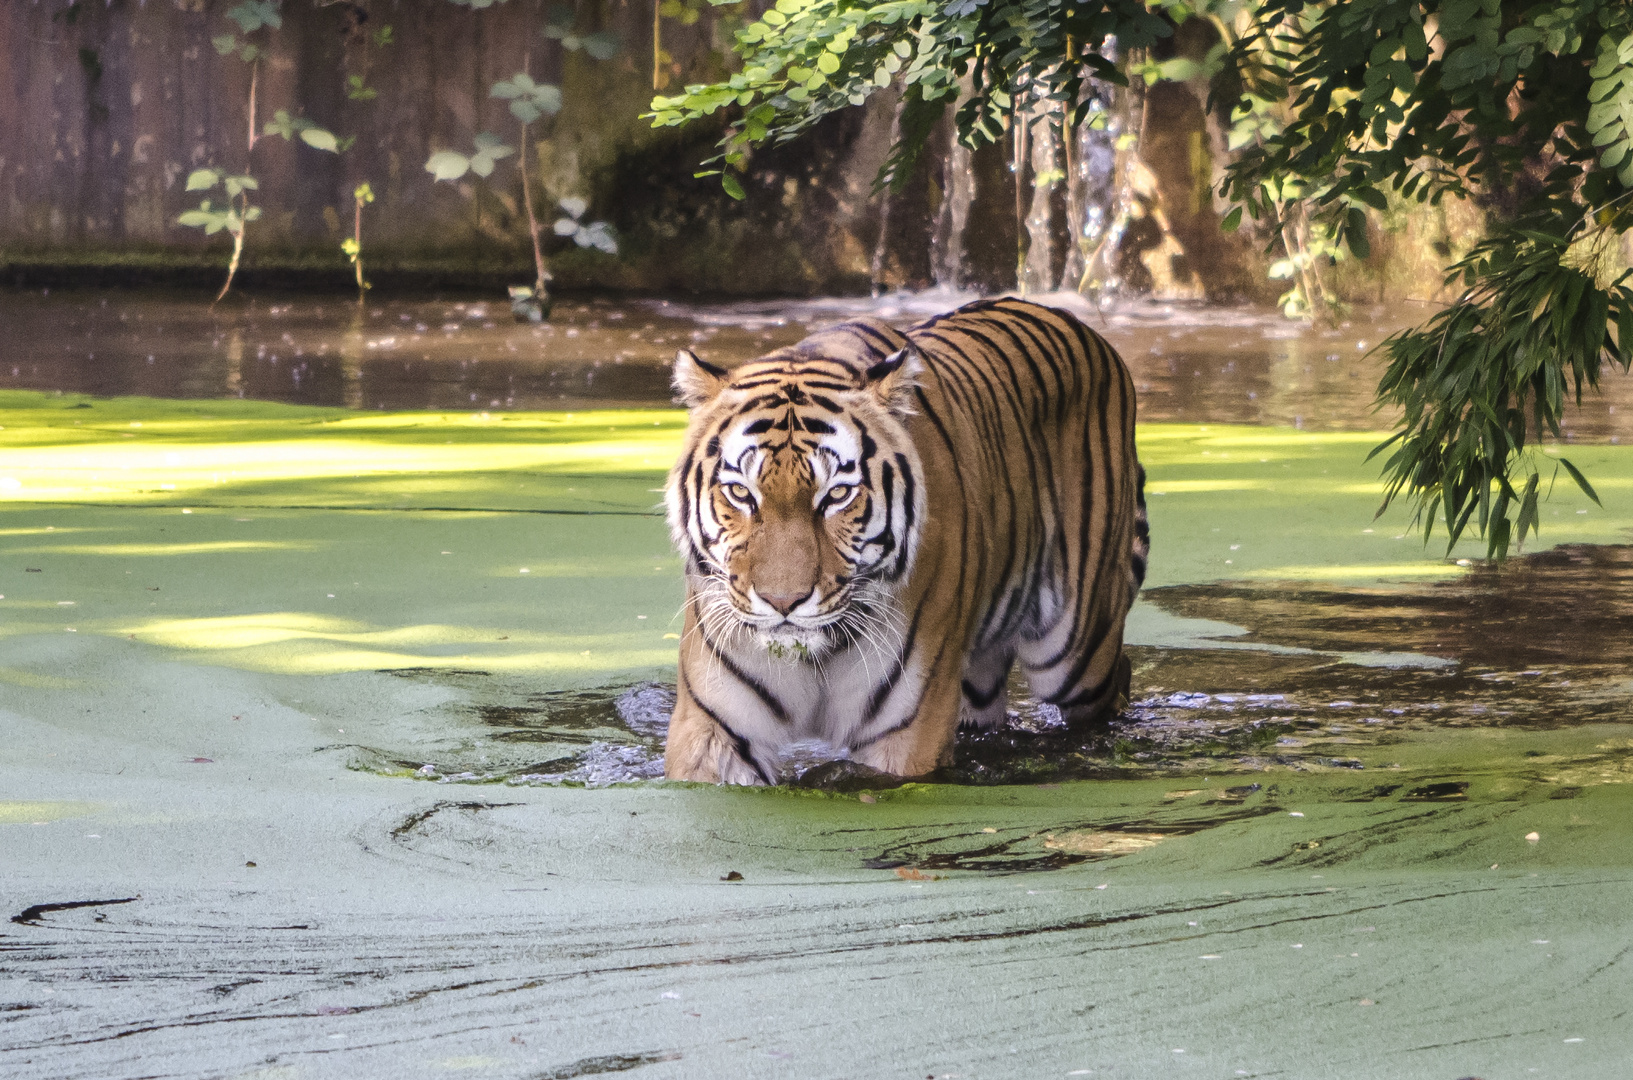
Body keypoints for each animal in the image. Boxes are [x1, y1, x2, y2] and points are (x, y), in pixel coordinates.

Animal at [662, 294, 1149, 784]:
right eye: (741, 492)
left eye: (837, 495)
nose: (783, 602)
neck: (813, 657)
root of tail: (1074, 322)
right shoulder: (716, 729)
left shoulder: (905, 730)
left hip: (1074, 652)